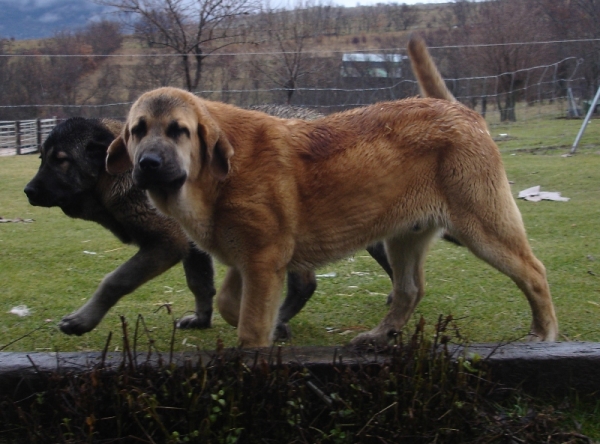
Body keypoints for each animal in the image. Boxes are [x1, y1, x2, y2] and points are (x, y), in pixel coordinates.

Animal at [105, 86, 560, 346]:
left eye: (178, 131)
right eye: (137, 130)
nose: (147, 163)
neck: (216, 174)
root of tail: (464, 111)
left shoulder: (263, 261)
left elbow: (250, 324)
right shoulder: (249, 261)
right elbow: (228, 302)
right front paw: (276, 327)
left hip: (483, 228)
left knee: (534, 272)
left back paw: (543, 333)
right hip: (403, 239)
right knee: (409, 290)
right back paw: (380, 335)